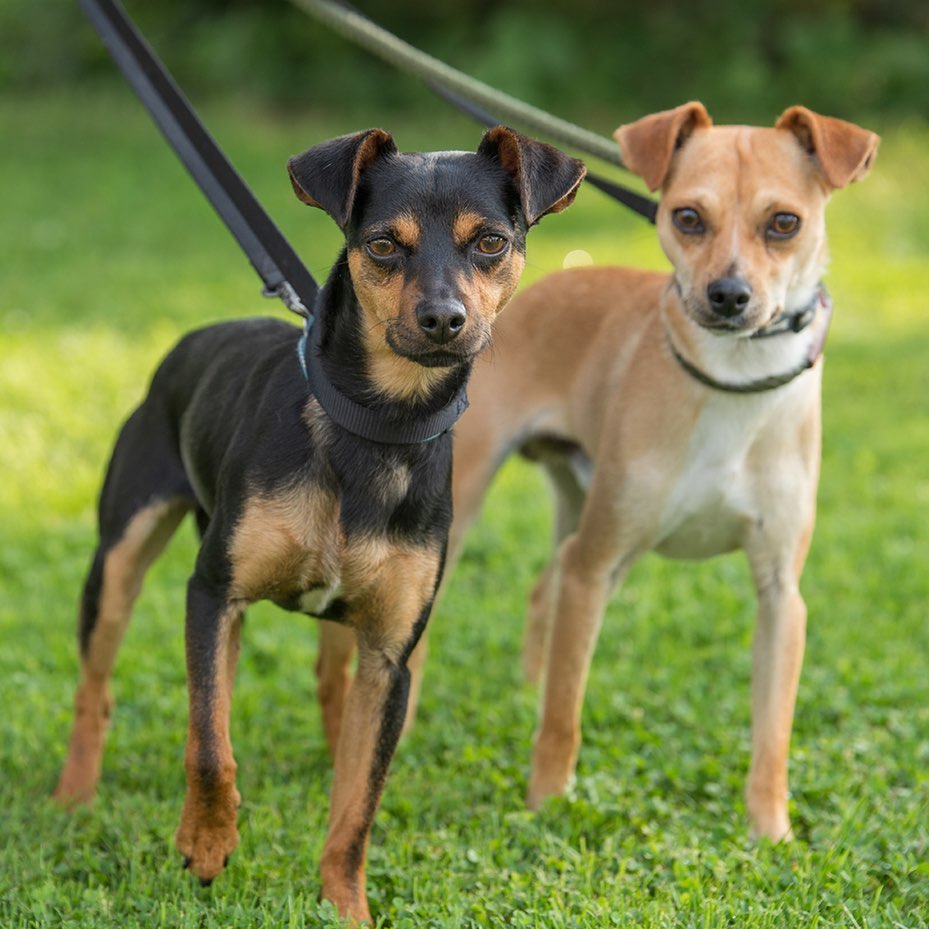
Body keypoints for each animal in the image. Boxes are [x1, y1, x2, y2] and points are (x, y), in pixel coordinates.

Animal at [52, 129, 580, 920]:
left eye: (490, 241)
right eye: (383, 246)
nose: (443, 320)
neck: (376, 425)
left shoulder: (391, 655)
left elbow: (358, 806)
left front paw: (346, 907)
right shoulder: (212, 595)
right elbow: (209, 742)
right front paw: (206, 841)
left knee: (330, 688)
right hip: (121, 558)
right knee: (103, 689)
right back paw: (74, 794)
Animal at [438, 103, 872, 840]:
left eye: (784, 222)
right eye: (687, 217)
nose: (728, 295)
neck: (732, 383)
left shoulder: (780, 594)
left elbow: (772, 736)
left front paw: (770, 831)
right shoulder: (595, 565)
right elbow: (565, 713)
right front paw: (547, 803)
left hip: (581, 511)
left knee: (541, 590)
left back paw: (521, 690)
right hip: (479, 512)